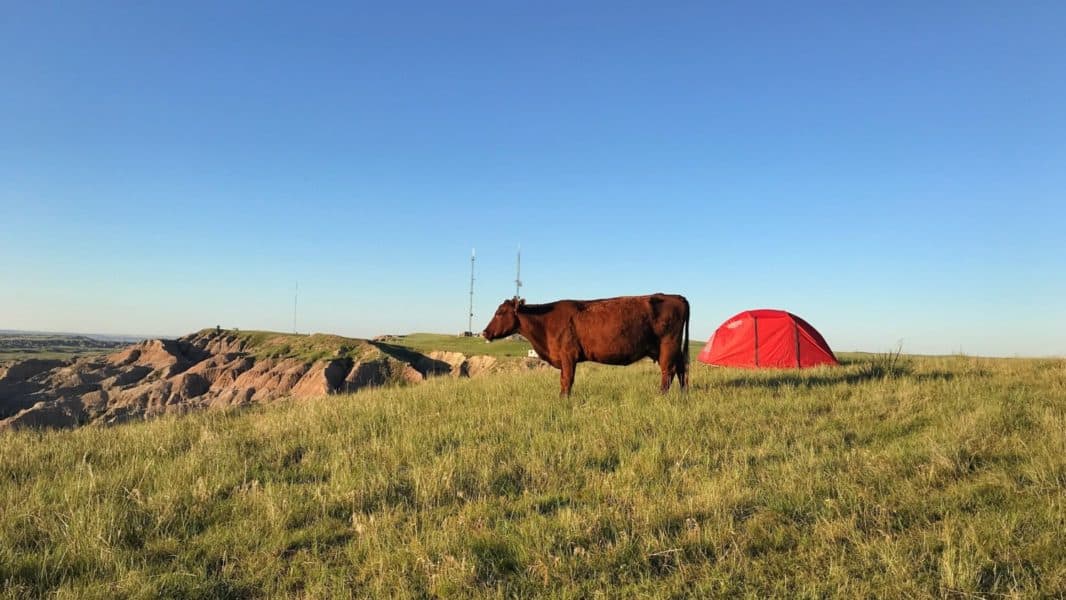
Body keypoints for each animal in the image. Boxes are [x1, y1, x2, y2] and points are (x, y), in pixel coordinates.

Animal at [483, 294, 690, 396]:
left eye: (500, 312)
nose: (485, 332)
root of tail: (674, 296)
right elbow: (563, 380)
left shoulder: (568, 356)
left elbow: (567, 381)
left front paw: (564, 401)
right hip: (668, 348)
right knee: (681, 369)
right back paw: (684, 394)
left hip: (668, 345)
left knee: (668, 371)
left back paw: (661, 396)